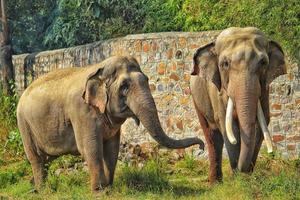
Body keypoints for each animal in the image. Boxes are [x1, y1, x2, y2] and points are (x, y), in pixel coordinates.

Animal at [16, 55, 204, 191]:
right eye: (124, 86)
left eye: (146, 80)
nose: (201, 147)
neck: (99, 69)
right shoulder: (82, 111)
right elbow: (91, 148)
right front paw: (99, 191)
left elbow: (112, 149)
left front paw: (109, 187)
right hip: (24, 124)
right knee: (36, 157)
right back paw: (41, 189)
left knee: (46, 159)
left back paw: (35, 186)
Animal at [190, 27, 286, 184]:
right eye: (225, 64)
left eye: (263, 62)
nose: (272, 152)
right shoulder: (217, 92)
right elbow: (227, 126)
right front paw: (238, 179)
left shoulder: (265, 89)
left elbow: (262, 123)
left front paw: (247, 178)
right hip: (196, 98)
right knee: (211, 135)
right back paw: (214, 184)